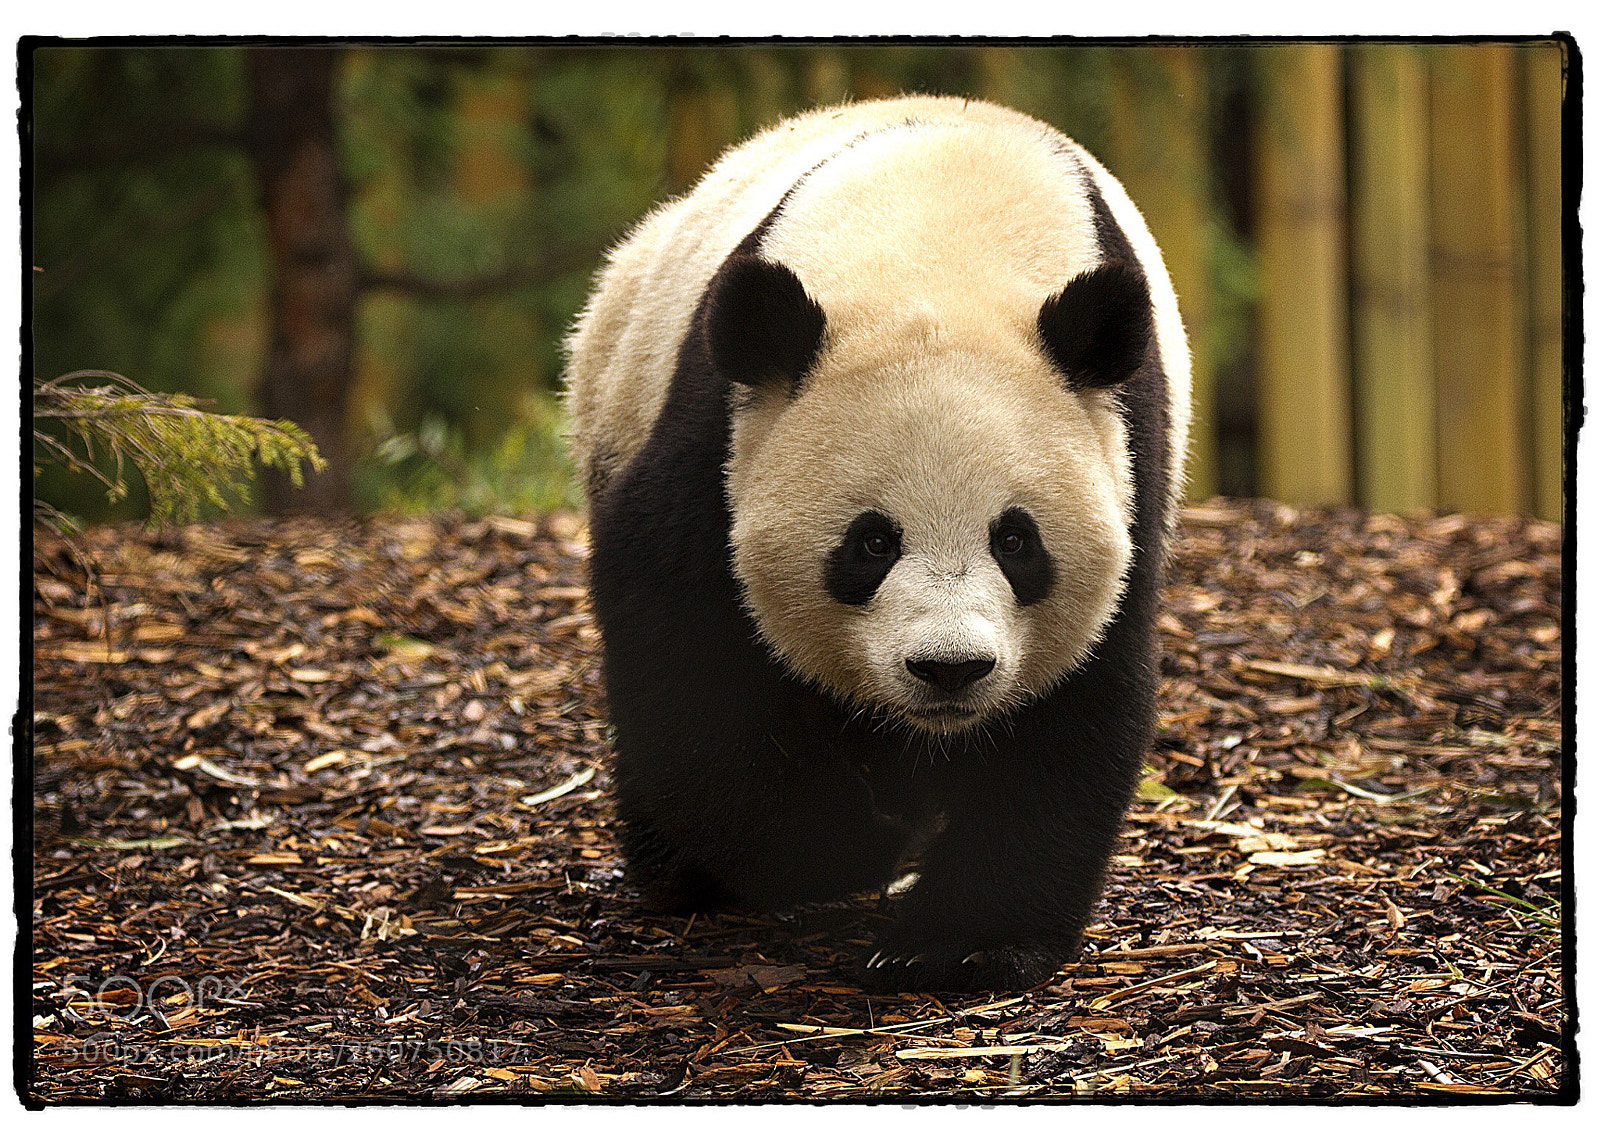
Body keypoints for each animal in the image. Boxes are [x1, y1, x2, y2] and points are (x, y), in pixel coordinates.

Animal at [565, 95, 1191, 992]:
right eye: (870, 544)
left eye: (1016, 540)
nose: (949, 668)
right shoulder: (723, 432)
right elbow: (690, 658)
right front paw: (846, 842)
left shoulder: (1125, 456)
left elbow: (1074, 705)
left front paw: (960, 944)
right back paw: (688, 875)